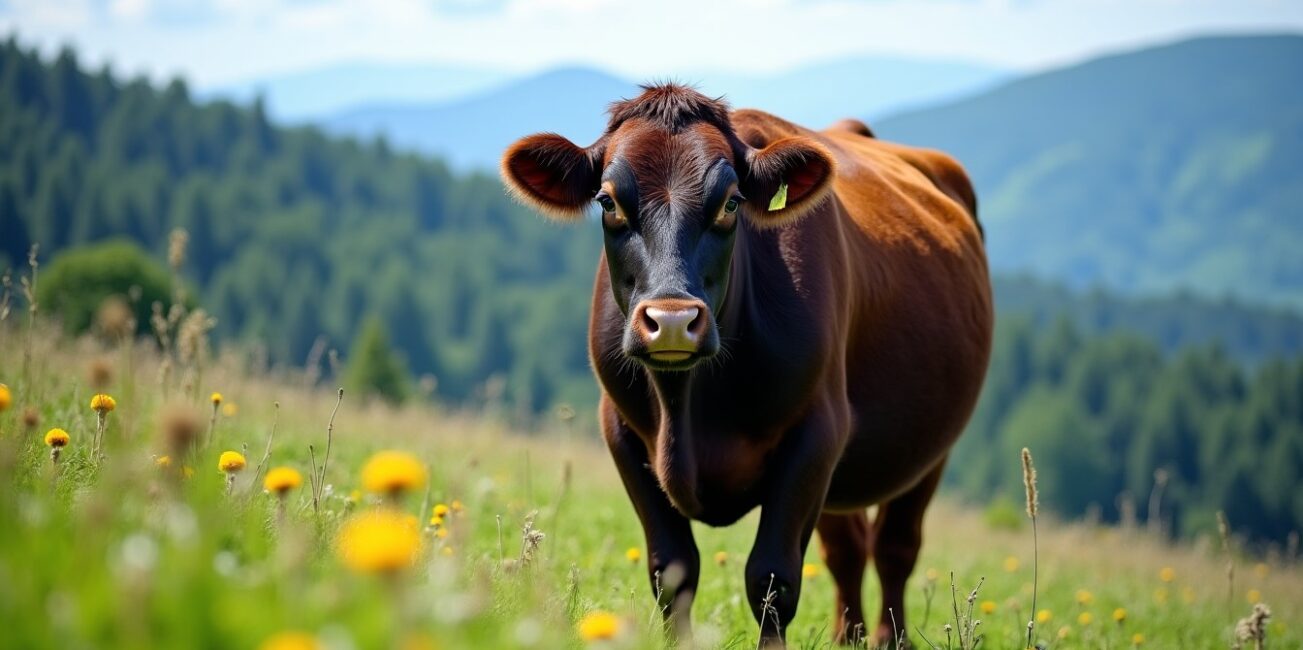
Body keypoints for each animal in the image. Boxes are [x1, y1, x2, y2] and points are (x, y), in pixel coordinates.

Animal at [501, 84, 992, 647]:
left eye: (731, 203)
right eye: (608, 201)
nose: (672, 321)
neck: (690, 411)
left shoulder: (816, 431)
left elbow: (772, 578)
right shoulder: (621, 430)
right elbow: (671, 570)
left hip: (929, 450)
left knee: (895, 548)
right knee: (847, 549)